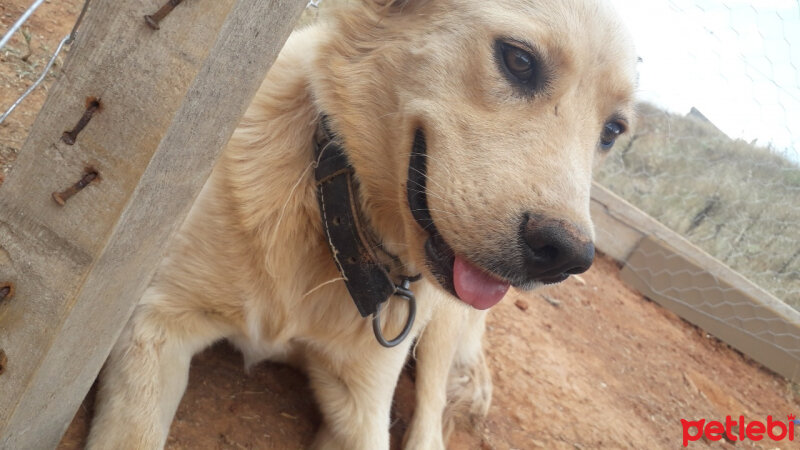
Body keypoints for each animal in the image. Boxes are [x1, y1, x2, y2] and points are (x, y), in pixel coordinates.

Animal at [89, 0, 636, 448]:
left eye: (612, 131)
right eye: (519, 60)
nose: (567, 256)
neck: (340, 228)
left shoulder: (362, 408)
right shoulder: (155, 322)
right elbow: (133, 435)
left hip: (442, 328)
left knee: (431, 422)